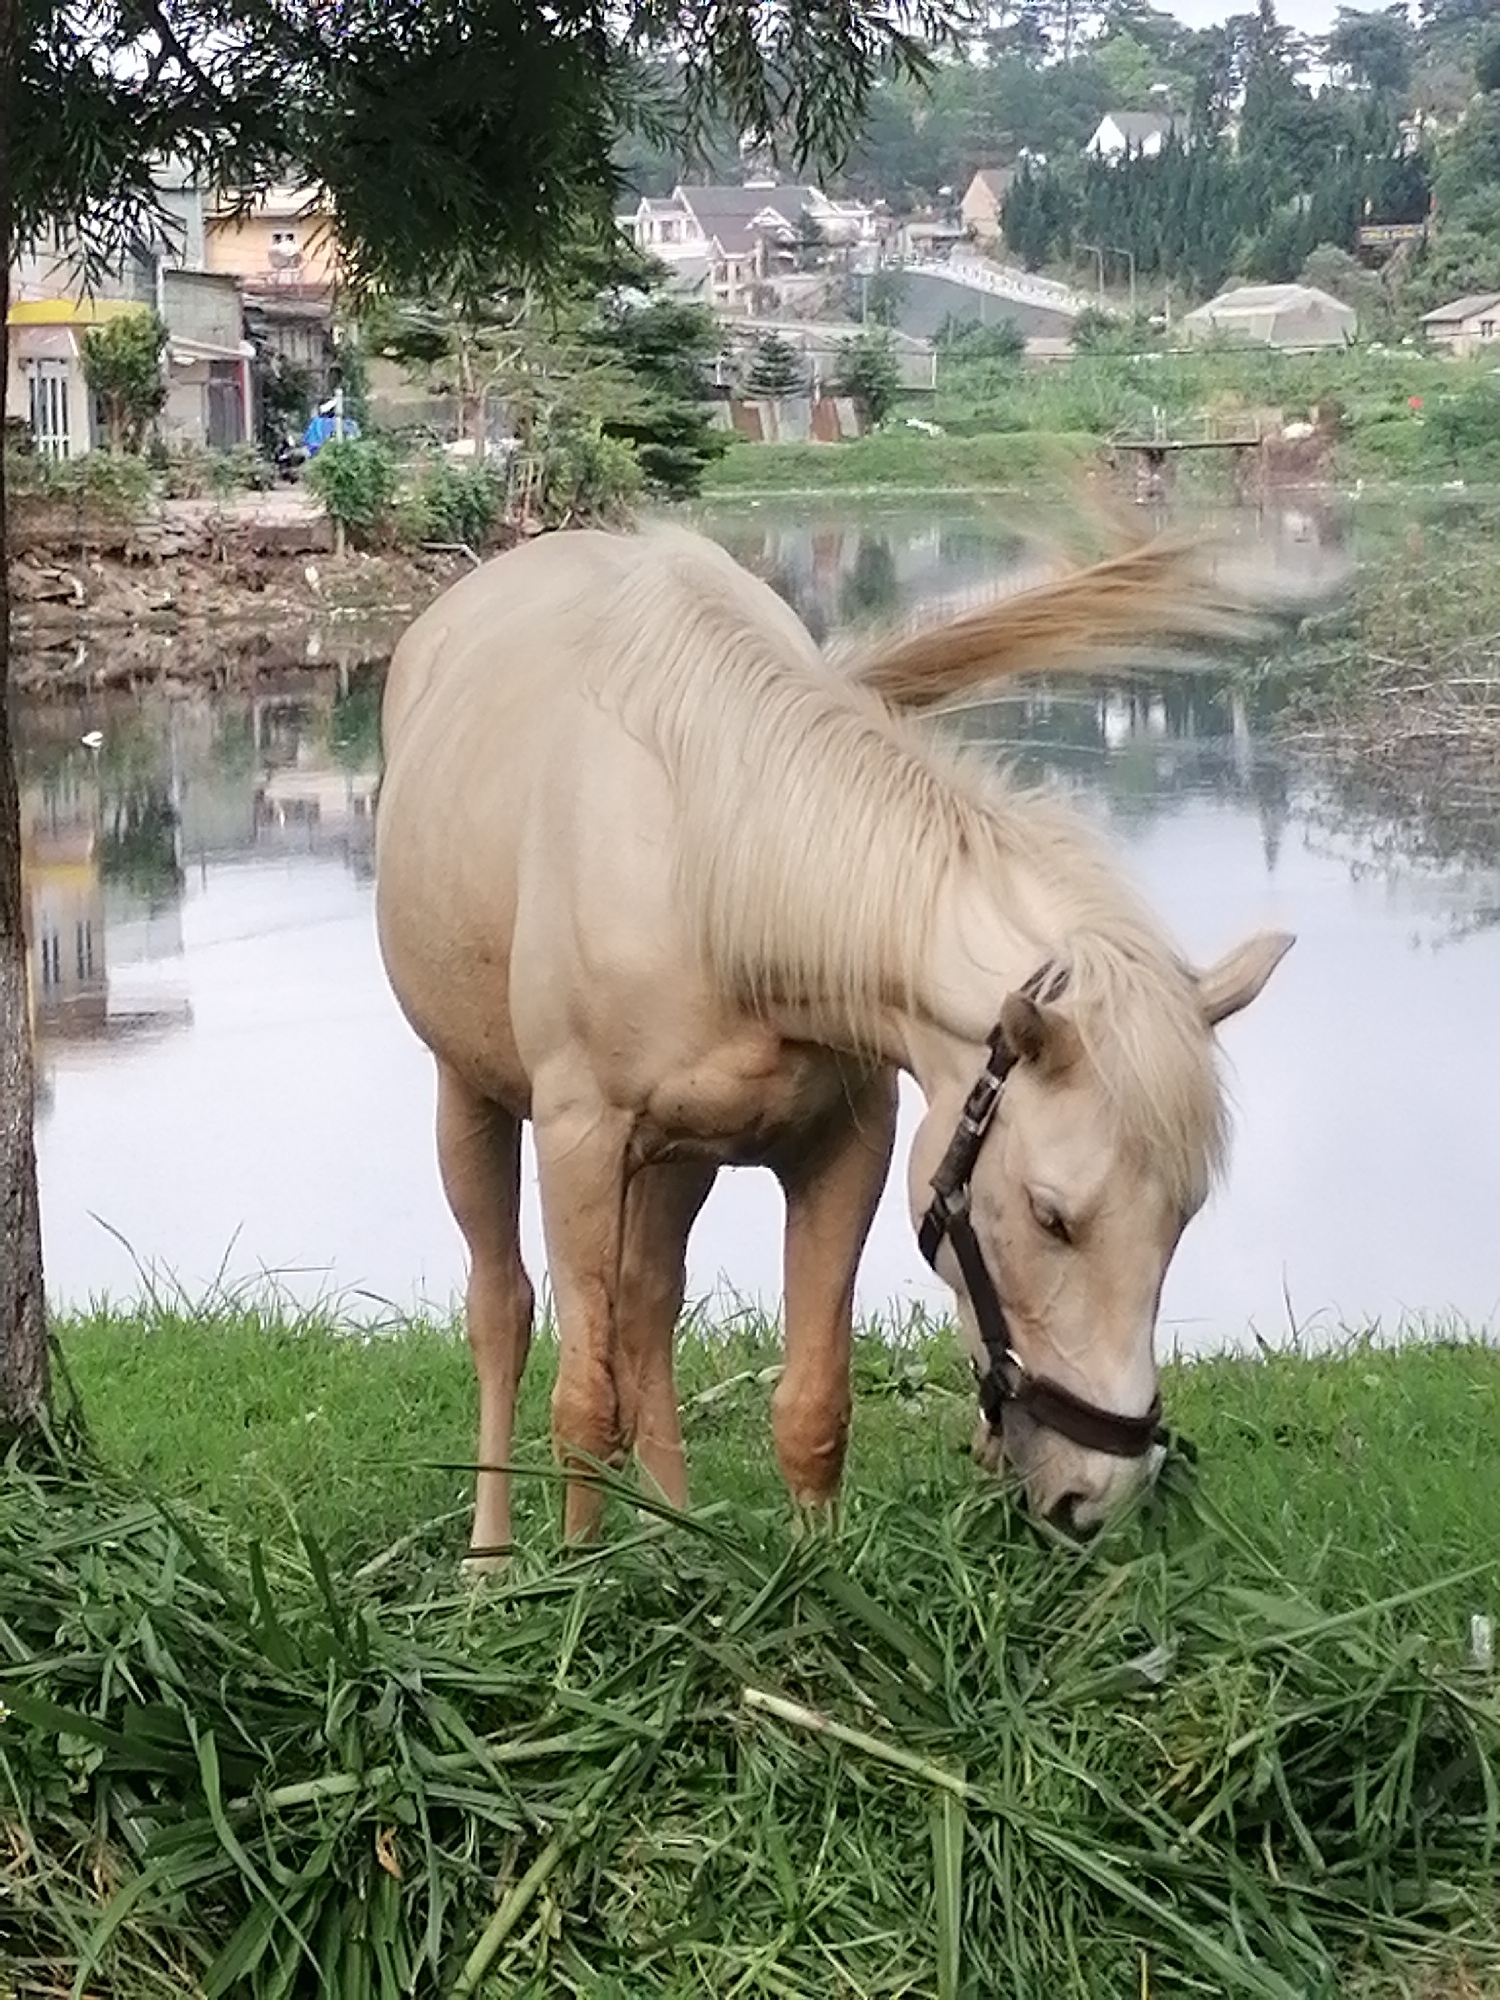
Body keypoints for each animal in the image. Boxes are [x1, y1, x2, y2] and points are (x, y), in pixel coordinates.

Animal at [374, 524, 1291, 1562]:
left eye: (1182, 1217)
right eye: (1053, 1216)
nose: (1102, 1492)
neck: (713, 857)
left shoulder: (845, 1147)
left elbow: (812, 1406)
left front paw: (810, 1582)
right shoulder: (582, 1142)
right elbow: (583, 1403)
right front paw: (577, 1581)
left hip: (680, 1158)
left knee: (647, 1311)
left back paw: (675, 1542)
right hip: (470, 1095)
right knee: (503, 1309)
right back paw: (491, 1562)